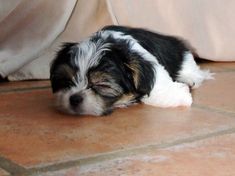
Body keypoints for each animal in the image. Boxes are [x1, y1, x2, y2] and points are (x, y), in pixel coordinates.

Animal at [49, 24, 213, 115]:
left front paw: (180, 96)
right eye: (66, 81)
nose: (74, 98)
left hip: (181, 57)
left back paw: (191, 79)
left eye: (101, 85)